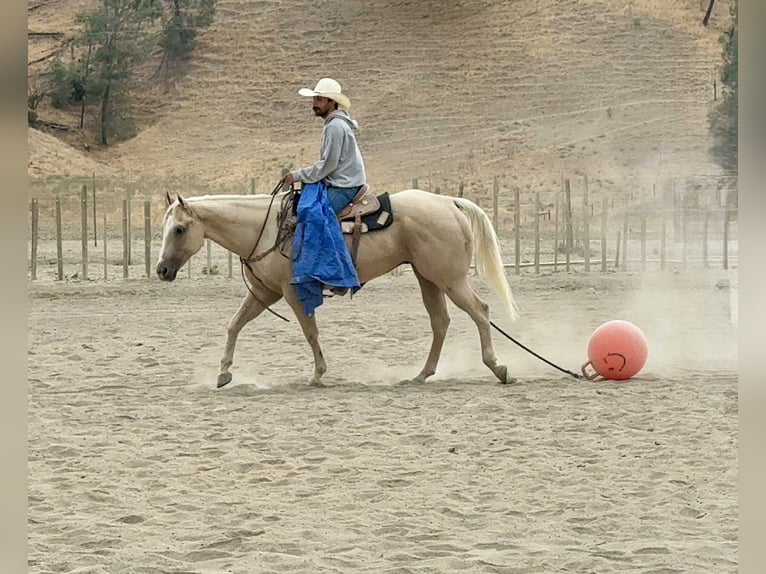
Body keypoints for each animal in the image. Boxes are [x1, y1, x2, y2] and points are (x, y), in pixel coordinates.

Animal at [155, 188, 520, 388]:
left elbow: (310, 332)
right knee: (440, 322)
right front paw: (223, 373)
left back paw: (499, 367)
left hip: (450, 279)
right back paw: (421, 374)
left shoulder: (293, 293)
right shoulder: (264, 292)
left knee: (480, 311)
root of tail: (448, 203)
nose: (161, 270)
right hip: (428, 278)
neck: (266, 228)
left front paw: (318, 375)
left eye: (179, 229)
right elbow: (234, 325)